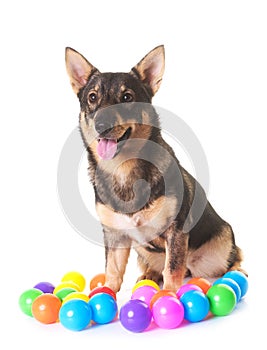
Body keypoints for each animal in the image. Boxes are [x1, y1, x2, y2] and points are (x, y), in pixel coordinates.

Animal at [65, 46, 247, 292]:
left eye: (127, 97)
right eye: (92, 97)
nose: (101, 126)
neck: (123, 169)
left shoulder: (176, 231)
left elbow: (172, 269)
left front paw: (168, 294)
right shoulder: (114, 235)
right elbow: (112, 270)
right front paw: (106, 292)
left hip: (219, 247)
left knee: (233, 257)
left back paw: (237, 272)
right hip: (143, 250)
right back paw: (149, 274)